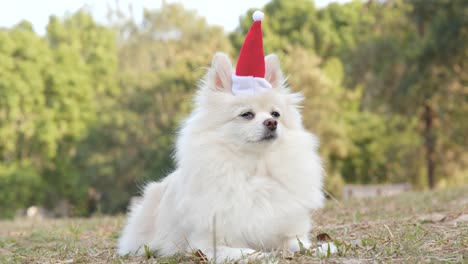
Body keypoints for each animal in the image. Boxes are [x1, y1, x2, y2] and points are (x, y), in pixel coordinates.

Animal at [118, 9, 322, 262]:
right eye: (246, 115)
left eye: (276, 114)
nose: (272, 123)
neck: (254, 169)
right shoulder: (207, 244)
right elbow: (246, 251)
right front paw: (263, 255)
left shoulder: (287, 231)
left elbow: (296, 242)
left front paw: (320, 247)